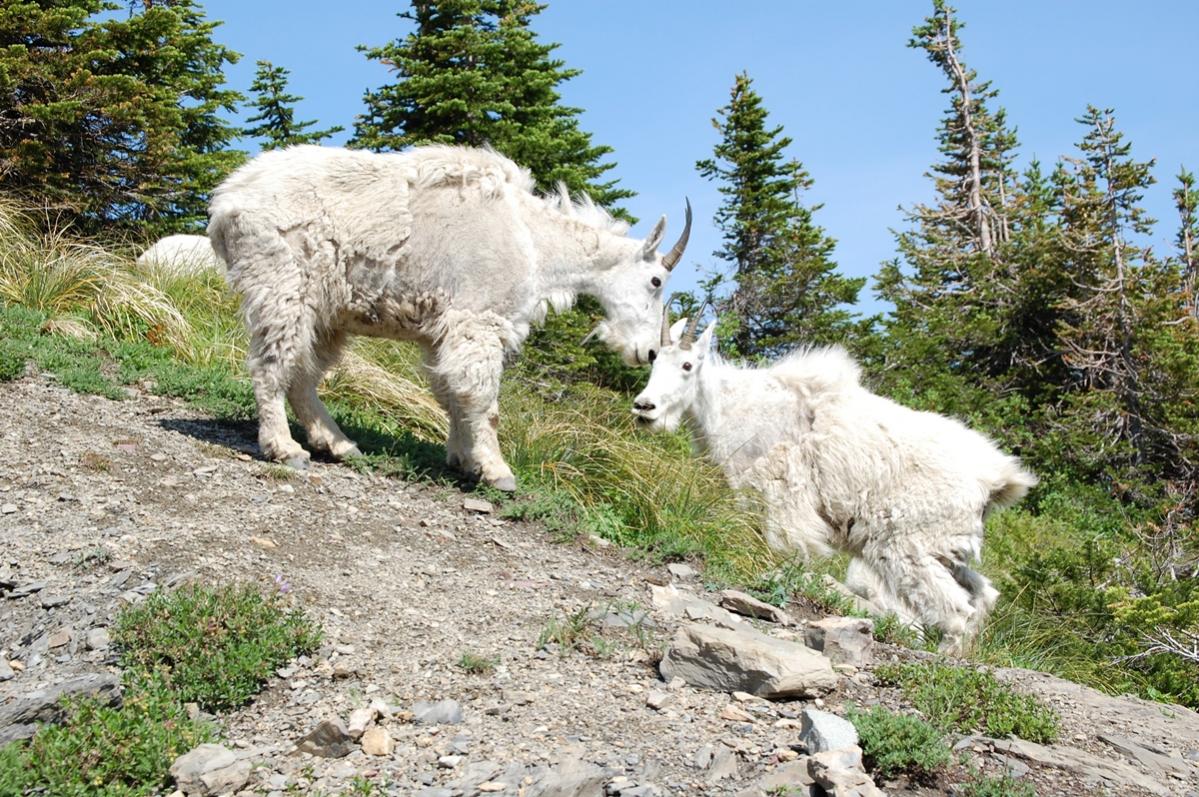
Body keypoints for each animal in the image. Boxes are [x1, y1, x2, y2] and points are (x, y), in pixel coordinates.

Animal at [208, 144, 691, 490]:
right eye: (655, 281)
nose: (648, 351)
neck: (535, 241)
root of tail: (225, 202)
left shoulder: (441, 332)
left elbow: (451, 393)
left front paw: (463, 460)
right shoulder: (479, 322)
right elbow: (481, 399)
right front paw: (497, 471)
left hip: (326, 313)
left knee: (303, 374)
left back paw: (339, 443)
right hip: (281, 286)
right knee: (271, 366)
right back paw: (284, 448)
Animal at [632, 313, 1037, 653]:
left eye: (687, 365)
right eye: (654, 360)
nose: (644, 407)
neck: (732, 408)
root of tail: (995, 480)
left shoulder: (781, 495)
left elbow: (785, 547)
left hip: (907, 545)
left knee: (955, 608)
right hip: (945, 546)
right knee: (982, 593)